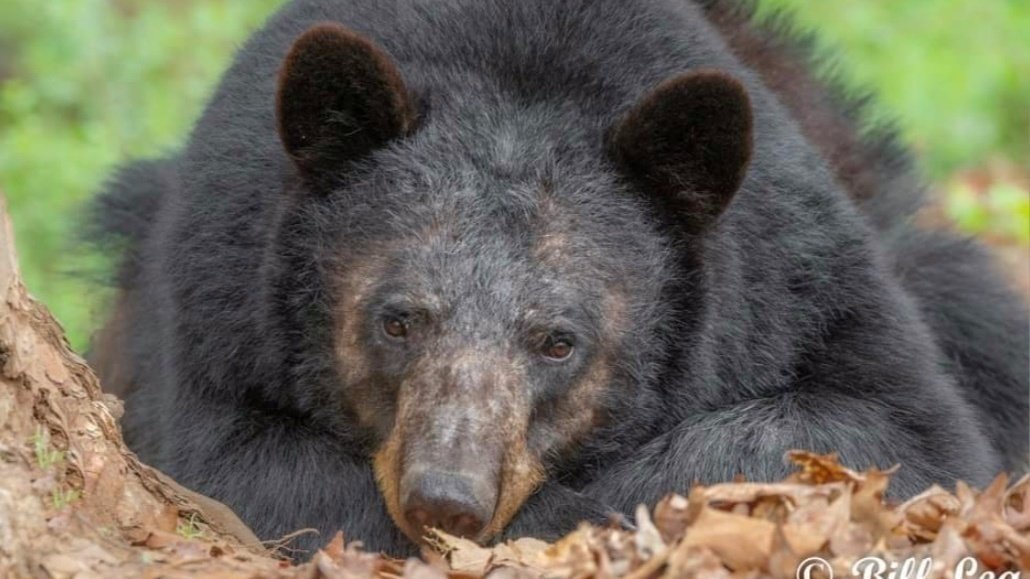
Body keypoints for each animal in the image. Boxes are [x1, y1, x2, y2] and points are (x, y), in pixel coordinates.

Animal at [88, 0, 1029, 559]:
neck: (517, 80)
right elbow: (235, 463)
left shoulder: (794, 270)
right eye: (397, 319)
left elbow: (898, 427)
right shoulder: (217, 280)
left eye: (557, 341)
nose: (448, 497)